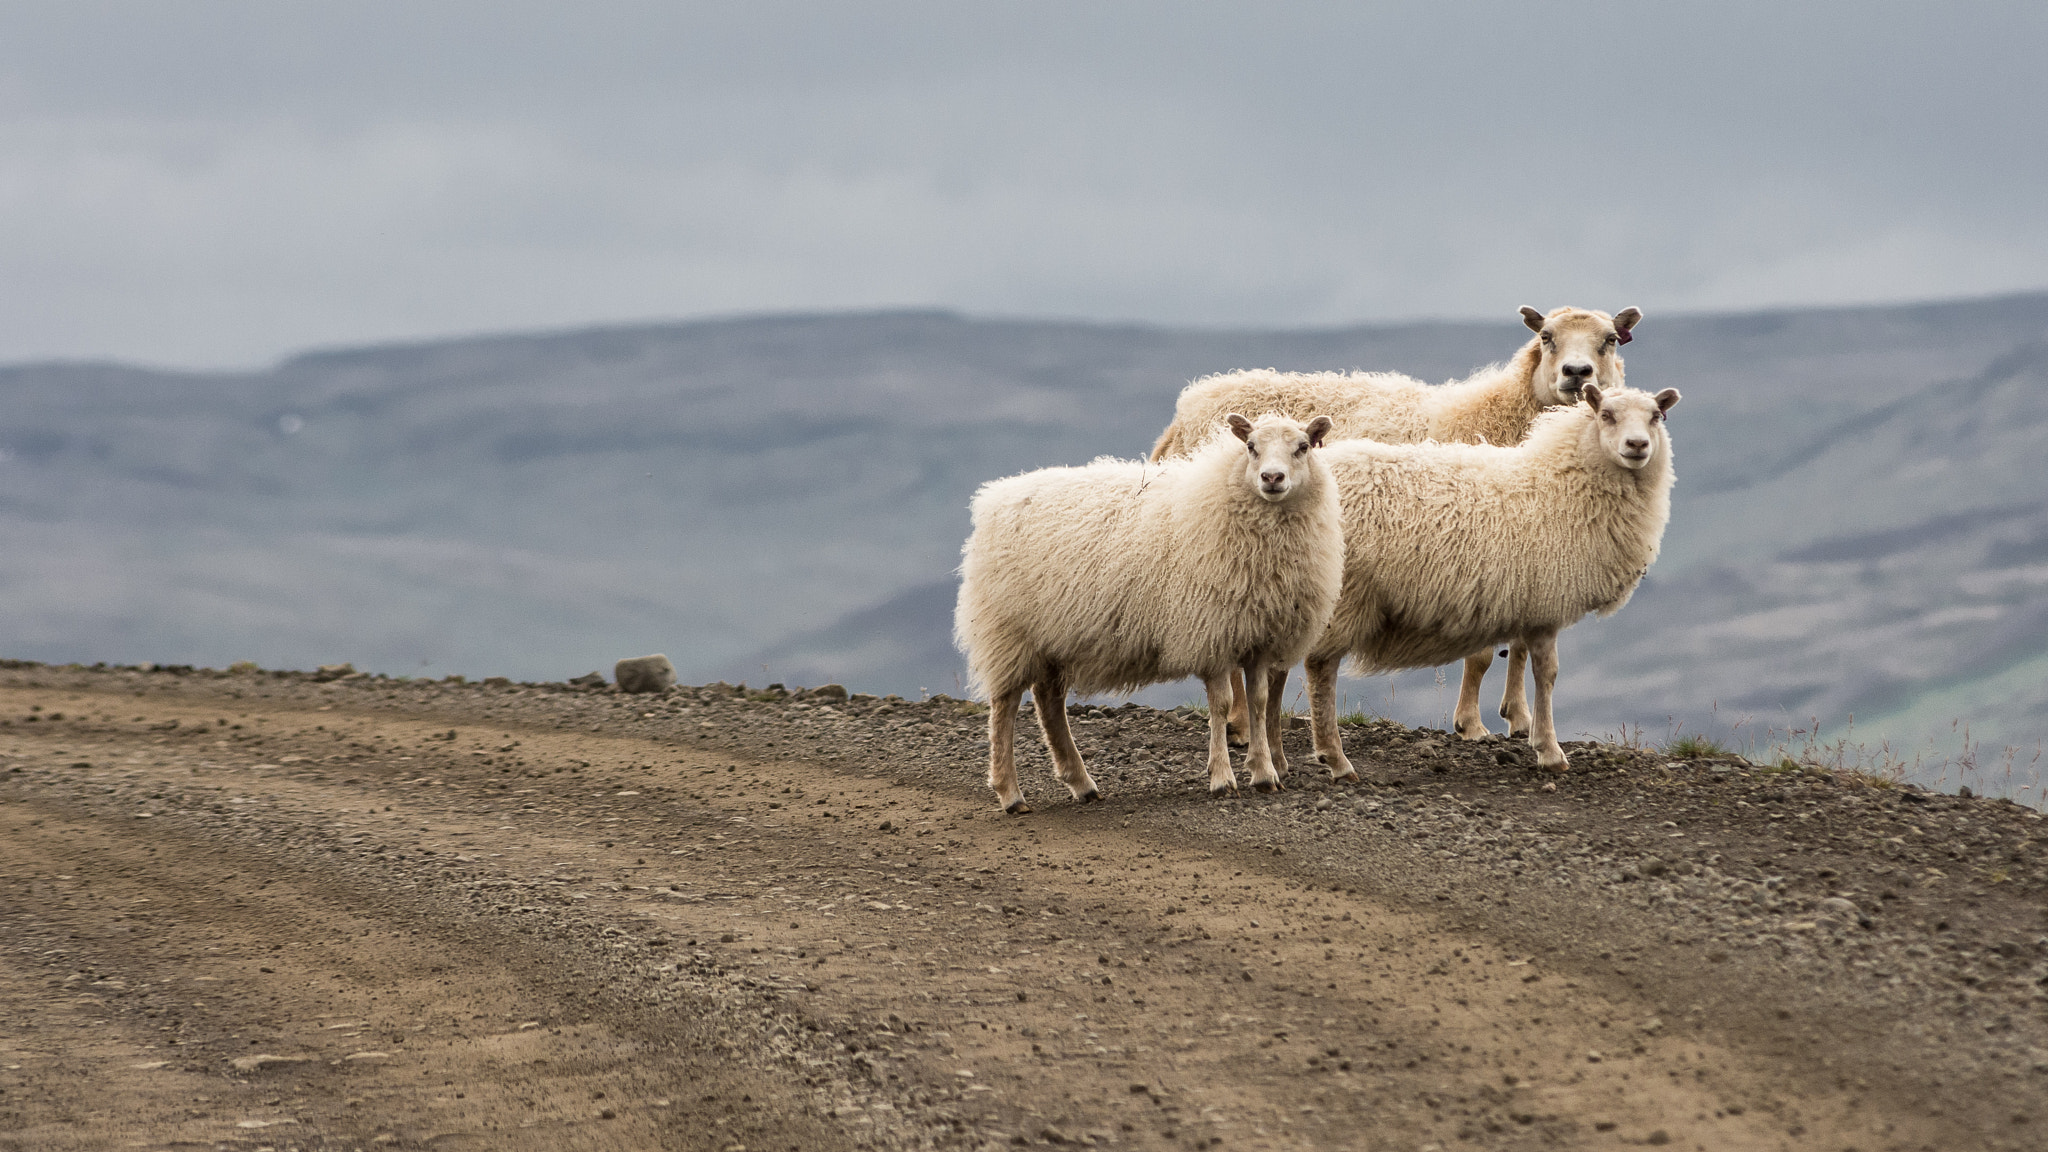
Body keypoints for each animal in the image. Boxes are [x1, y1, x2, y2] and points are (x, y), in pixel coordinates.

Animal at [954, 413, 1344, 812]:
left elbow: (1259, 703)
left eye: (1303, 447)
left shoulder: (1259, 637)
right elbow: (1221, 705)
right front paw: (1222, 778)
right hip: (1007, 633)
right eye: (1251, 447)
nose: (1272, 478)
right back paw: (1010, 793)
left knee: (1048, 701)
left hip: (1052, 639)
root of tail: (994, 497)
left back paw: (1081, 783)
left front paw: (1264, 773)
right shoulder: (1210, 631)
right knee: (1004, 708)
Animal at [1148, 305, 1642, 745]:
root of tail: (1189, 405)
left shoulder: (1528, 557)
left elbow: (1520, 641)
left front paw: (1518, 718)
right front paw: (1471, 724)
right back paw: (1240, 723)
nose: (1577, 373)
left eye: (1610, 340)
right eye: (1546, 337)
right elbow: (1483, 652)